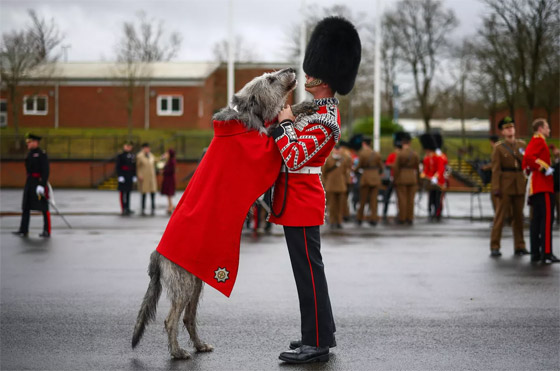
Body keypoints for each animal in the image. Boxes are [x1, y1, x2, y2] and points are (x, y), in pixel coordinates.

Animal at [129, 67, 318, 360]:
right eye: (270, 79)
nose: (289, 69)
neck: (245, 120)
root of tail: (157, 257)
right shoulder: (262, 150)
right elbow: (275, 129)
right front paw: (291, 111)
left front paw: (302, 105)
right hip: (183, 284)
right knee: (171, 319)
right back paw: (178, 352)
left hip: (197, 281)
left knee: (188, 317)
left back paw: (199, 345)